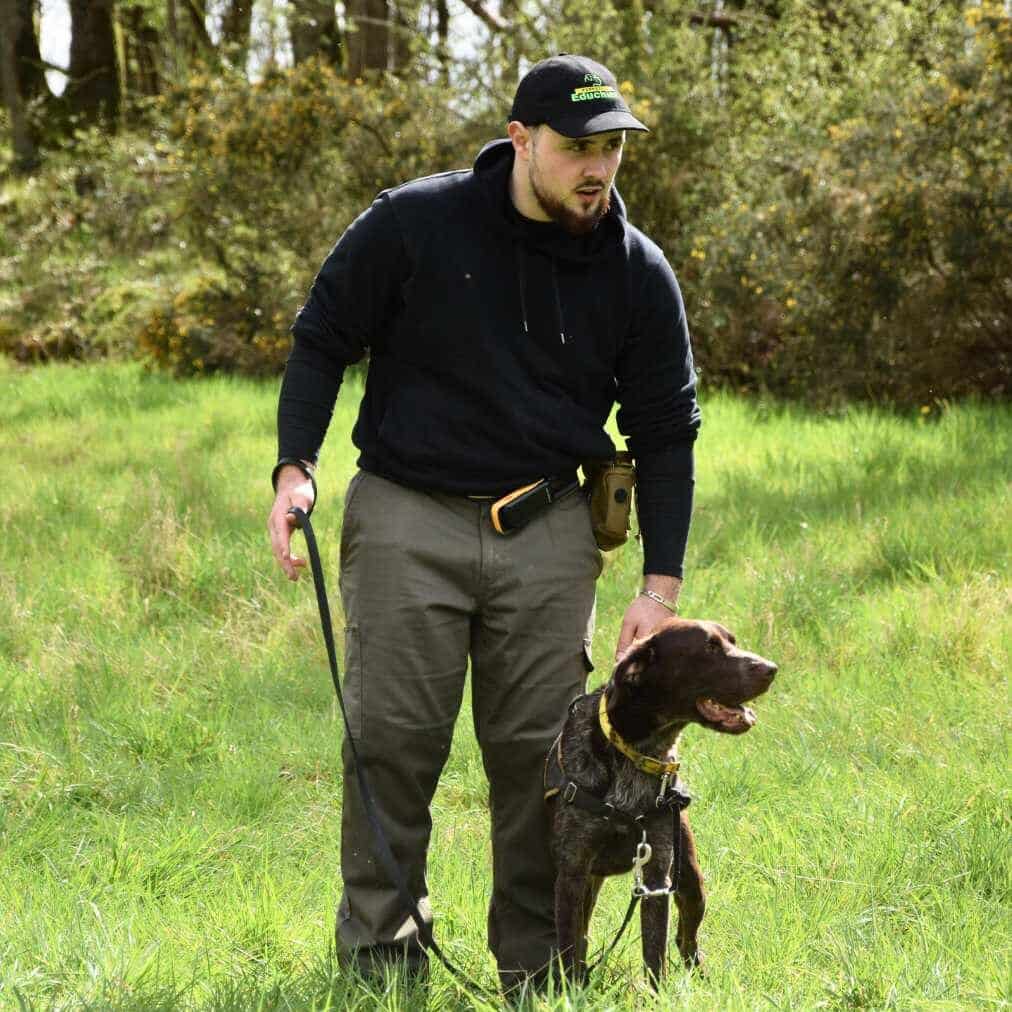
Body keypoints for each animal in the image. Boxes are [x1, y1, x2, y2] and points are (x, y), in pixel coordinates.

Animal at [546, 615, 773, 987]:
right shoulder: (572, 873)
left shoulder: (656, 879)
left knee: (686, 939)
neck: (636, 753)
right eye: (710, 648)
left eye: (731, 641)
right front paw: (571, 991)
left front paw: (658, 994)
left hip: (691, 883)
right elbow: (569, 947)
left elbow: (655, 954)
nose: (771, 668)